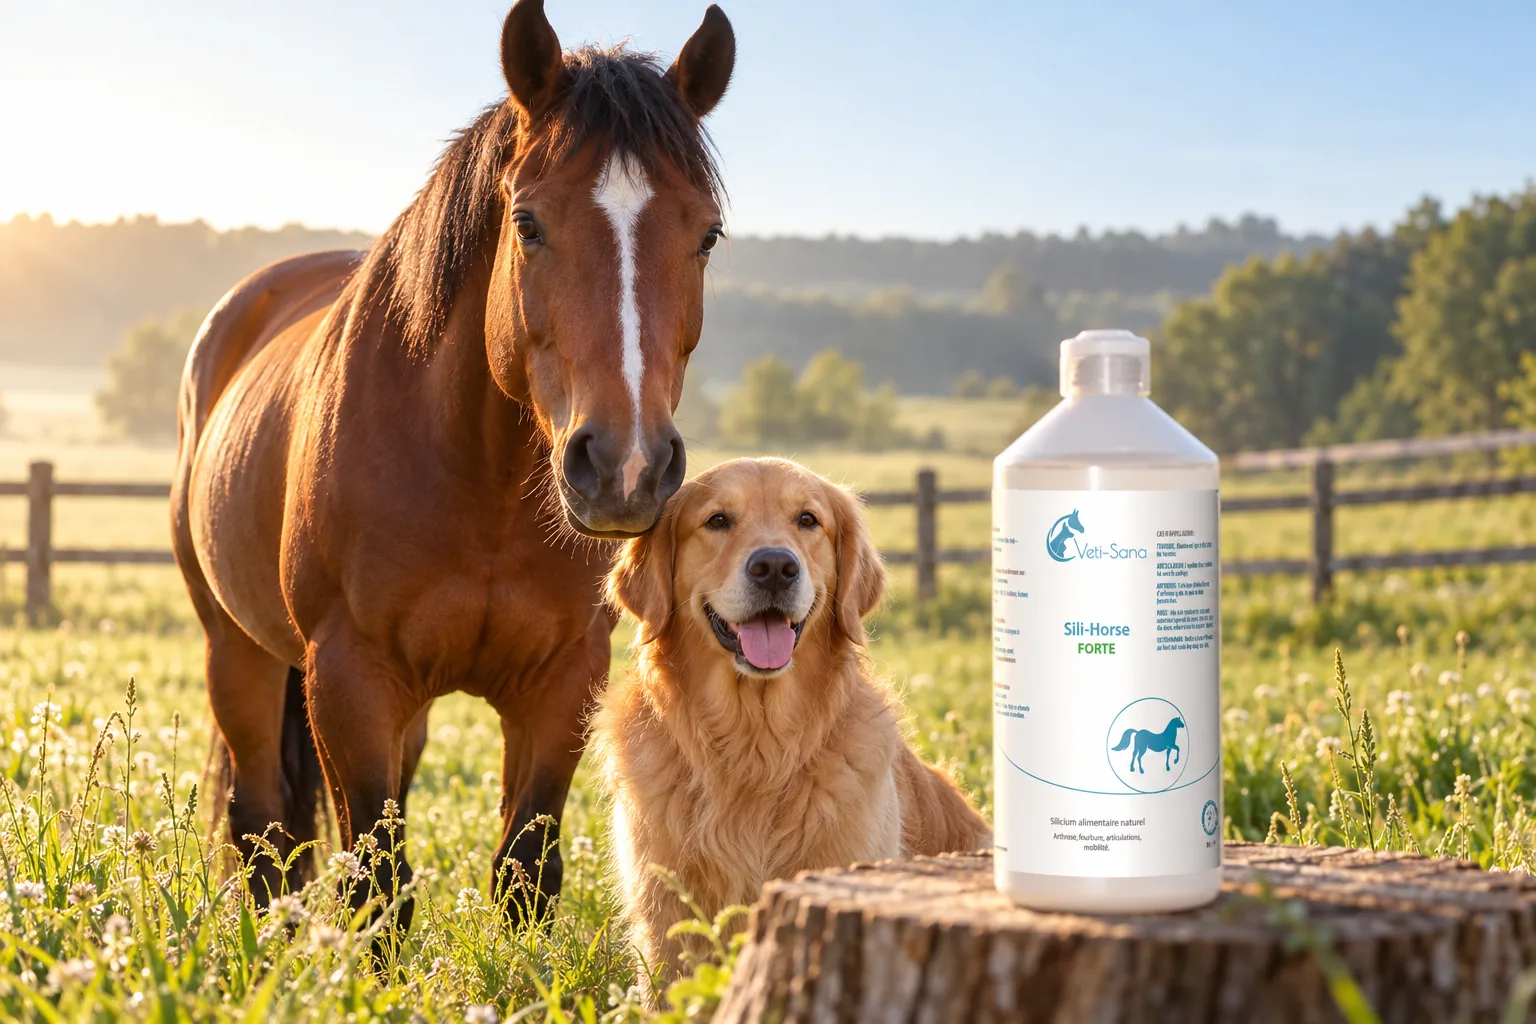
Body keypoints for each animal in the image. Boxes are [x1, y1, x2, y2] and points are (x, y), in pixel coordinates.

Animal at [170, 0, 736, 927]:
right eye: (529, 223)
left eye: (707, 236)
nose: (625, 467)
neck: (485, 483)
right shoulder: (350, 678)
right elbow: (376, 887)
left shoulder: (563, 680)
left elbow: (523, 871)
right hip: (237, 650)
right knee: (262, 828)